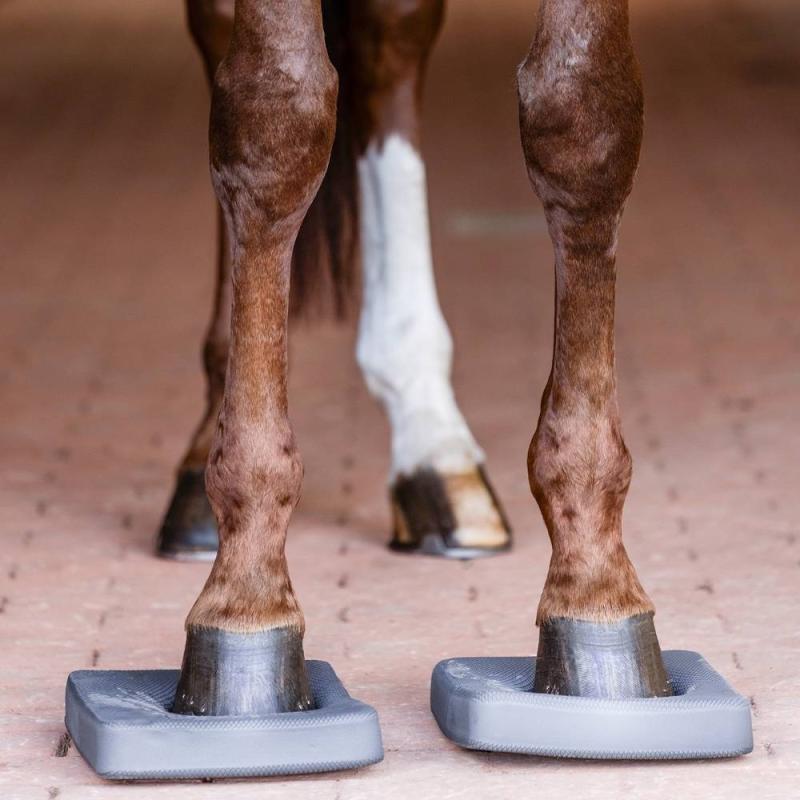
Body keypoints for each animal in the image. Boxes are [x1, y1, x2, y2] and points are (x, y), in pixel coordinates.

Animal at [159, 0, 671, 716]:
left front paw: (594, 580)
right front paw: (246, 594)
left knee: (391, 38)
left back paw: (434, 451)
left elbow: (584, 113)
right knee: (222, 40)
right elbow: (275, 114)